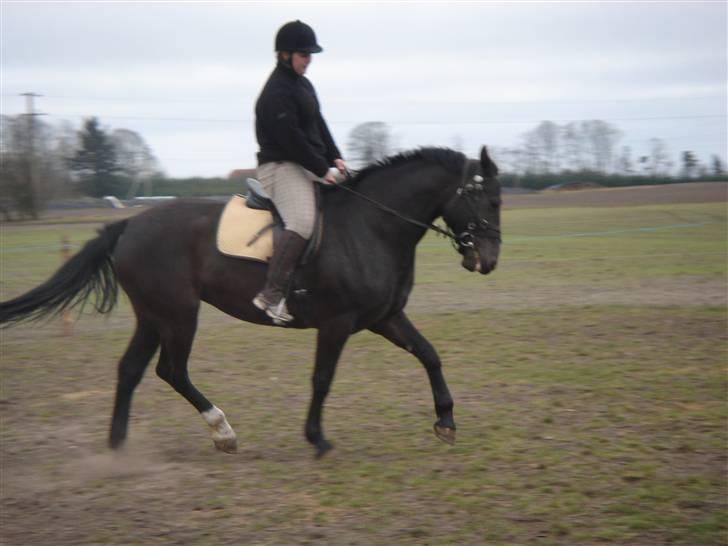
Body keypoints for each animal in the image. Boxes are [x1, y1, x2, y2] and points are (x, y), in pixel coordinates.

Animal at [0, 144, 500, 454]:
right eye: (486, 200)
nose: (489, 259)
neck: (371, 226)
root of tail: (129, 225)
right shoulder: (337, 323)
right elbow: (322, 378)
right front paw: (317, 438)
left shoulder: (385, 316)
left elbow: (429, 354)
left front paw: (446, 421)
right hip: (178, 314)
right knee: (171, 370)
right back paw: (222, 432)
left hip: (153, 316)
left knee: (131, 371)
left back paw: (119, 446)